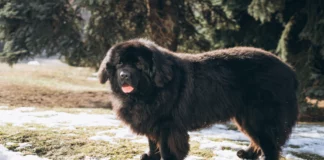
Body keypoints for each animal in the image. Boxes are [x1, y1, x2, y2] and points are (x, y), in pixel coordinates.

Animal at [98, 38, 298, 160]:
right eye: (120, 64)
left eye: (139, 65)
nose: (124, 75)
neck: (148, 92)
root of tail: (289, 69)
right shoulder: (150, 120)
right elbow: (152, 142)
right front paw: (150, 156)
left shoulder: (167, 124)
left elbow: (165, 146)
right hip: (245, 116)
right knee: (258, 139)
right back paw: (247, 154)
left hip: (260, 116)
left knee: (269, 144)